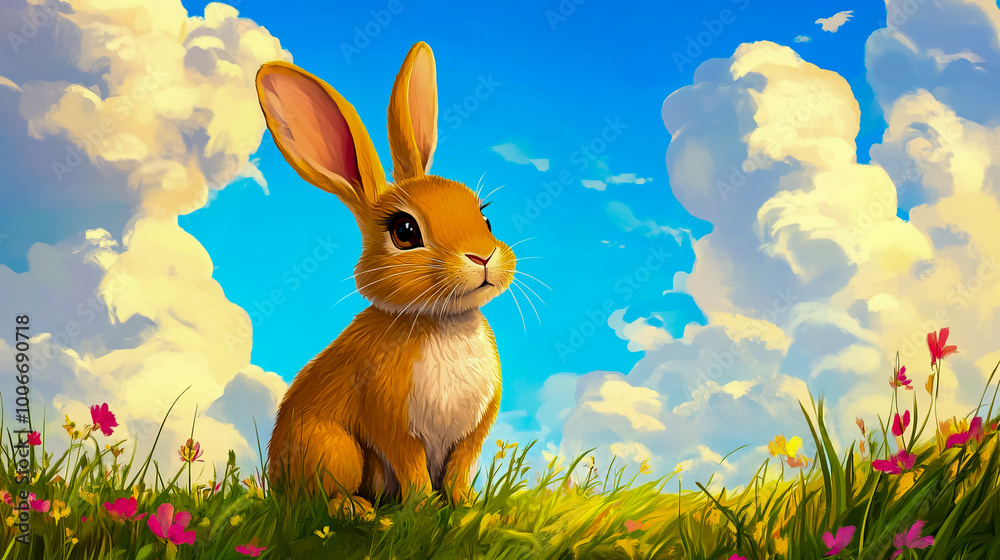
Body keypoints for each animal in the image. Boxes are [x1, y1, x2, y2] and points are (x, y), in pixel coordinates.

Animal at [255, 42, 515, 508]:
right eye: (404, 232)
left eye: (485, 218)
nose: (483, 257)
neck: (441, 320)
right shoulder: (391, 422)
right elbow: (410, 466)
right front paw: (423, 507)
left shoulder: (472, 434)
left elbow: (460, 471)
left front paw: (467, 508)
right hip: (334, 447)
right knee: (320, 498)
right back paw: (358, 510)